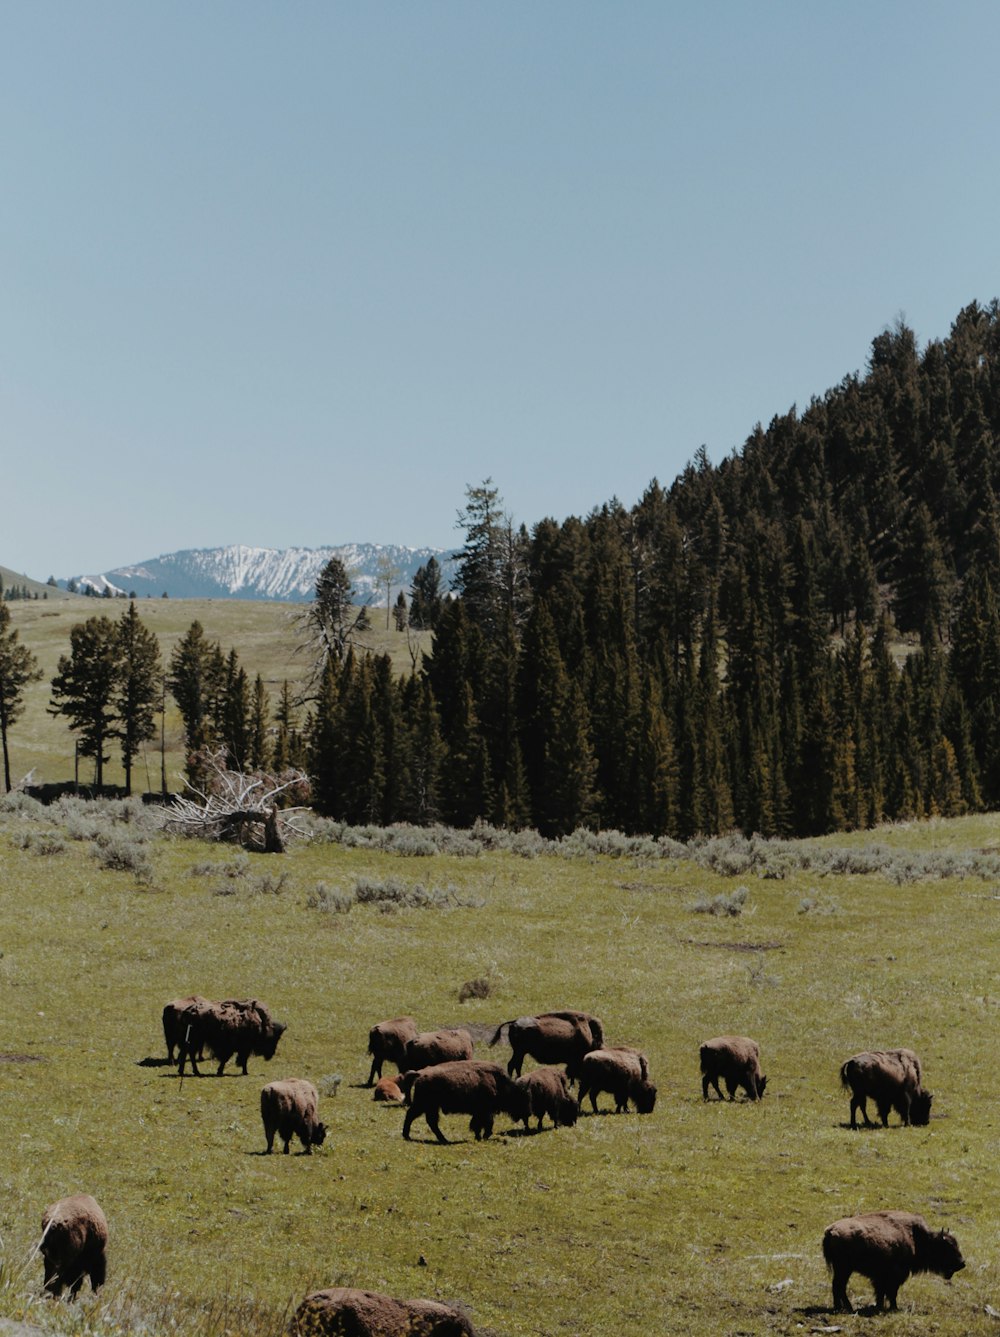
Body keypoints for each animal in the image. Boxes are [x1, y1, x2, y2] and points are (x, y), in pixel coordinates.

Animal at [401, 1058, 534, 1144]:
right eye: (521, 1098)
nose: (528, 1113)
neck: (499, 1083)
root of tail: (420, 1073)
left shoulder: (480, 1112)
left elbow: (478, 1124)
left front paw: (479, 1136)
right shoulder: (485, 1111)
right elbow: (486, 1124)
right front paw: (484, 1136)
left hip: (430, 1106)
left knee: (429, 1121)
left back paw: (442, 1139)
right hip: (425, 1105)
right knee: (413, 1116)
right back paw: (408, 1136)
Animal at [818, 1208, 967, 1310]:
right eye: (947, 1247)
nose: (962, 1263)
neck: (917, 1238)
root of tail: (831, 1231)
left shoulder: (881, 1278)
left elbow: (881, 1292)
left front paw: (879, 1306)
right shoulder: (895, 1275)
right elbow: (891, 1292)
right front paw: (893, 1308)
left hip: (842, 1269)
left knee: (837, 1286)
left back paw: (840, 1307)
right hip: (844, 1269)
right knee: (839, 1286)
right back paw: (846, 1308)